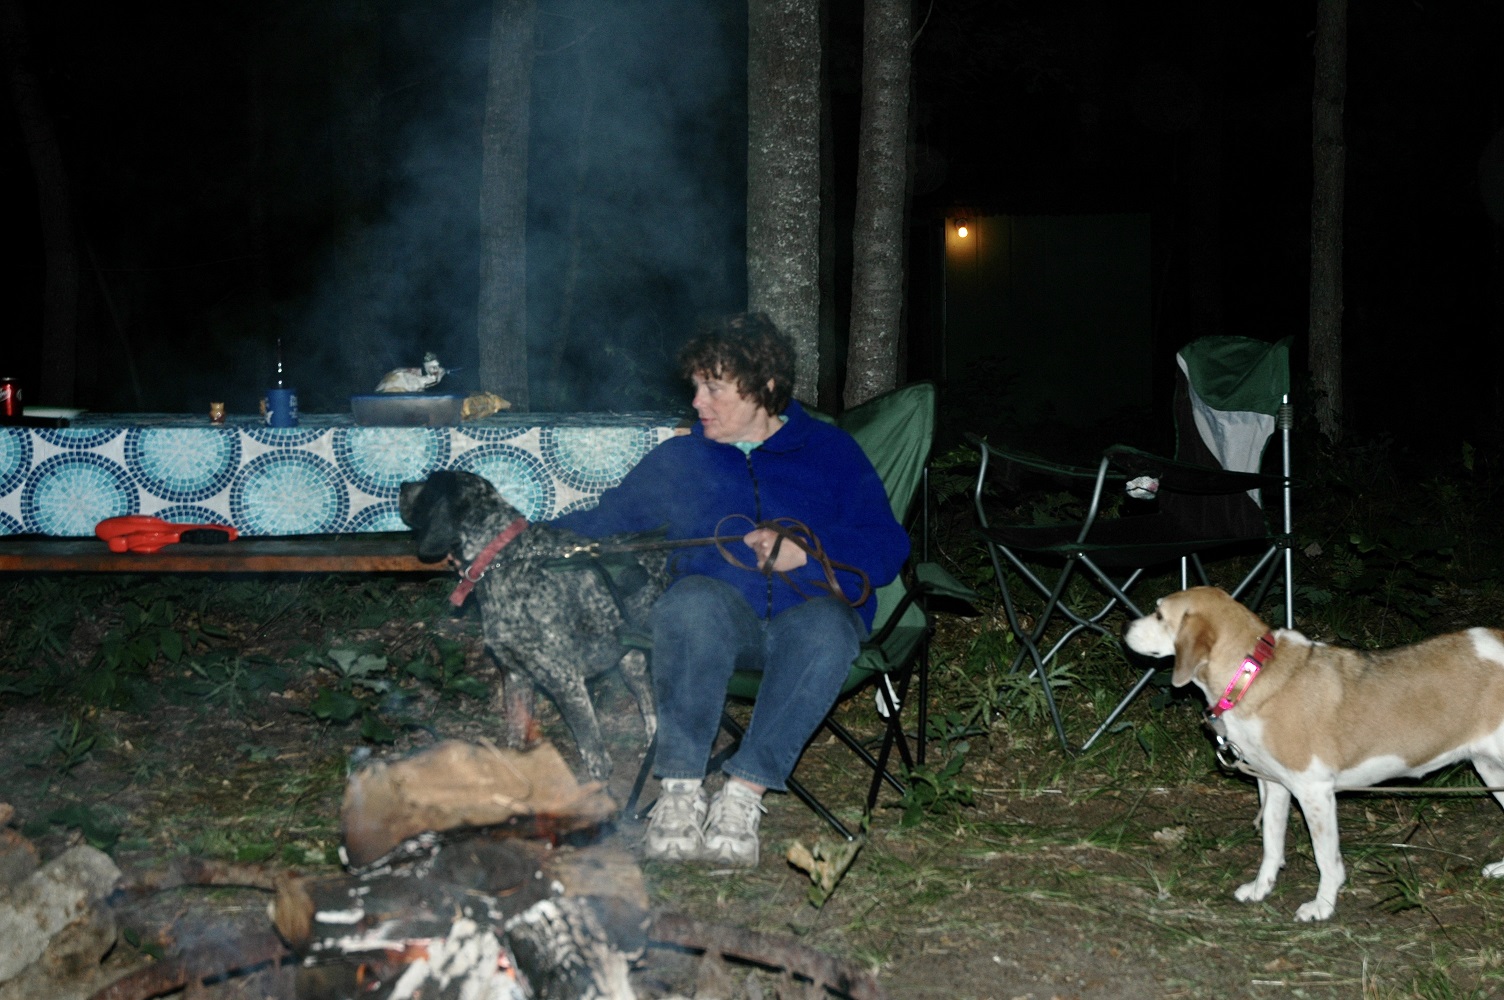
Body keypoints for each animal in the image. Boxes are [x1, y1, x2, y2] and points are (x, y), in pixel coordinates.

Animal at [399, 470, 668, 781]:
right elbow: (516, 737)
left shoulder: (567, 683)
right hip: (631, 663)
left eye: (429, 484)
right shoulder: (516, 676)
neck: (504, 560)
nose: (401, 486)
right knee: (649, 707)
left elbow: (593, 752)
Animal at [1125, 586, 1504, 921]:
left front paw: (1322, 907)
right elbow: (1271, 844)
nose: (1124, 628)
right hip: (1490, 770)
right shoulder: (1273, 785)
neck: (1252, 675)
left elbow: (1326, 858)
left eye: (1159, 614)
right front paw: (1261, 889)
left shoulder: (1314, 791)